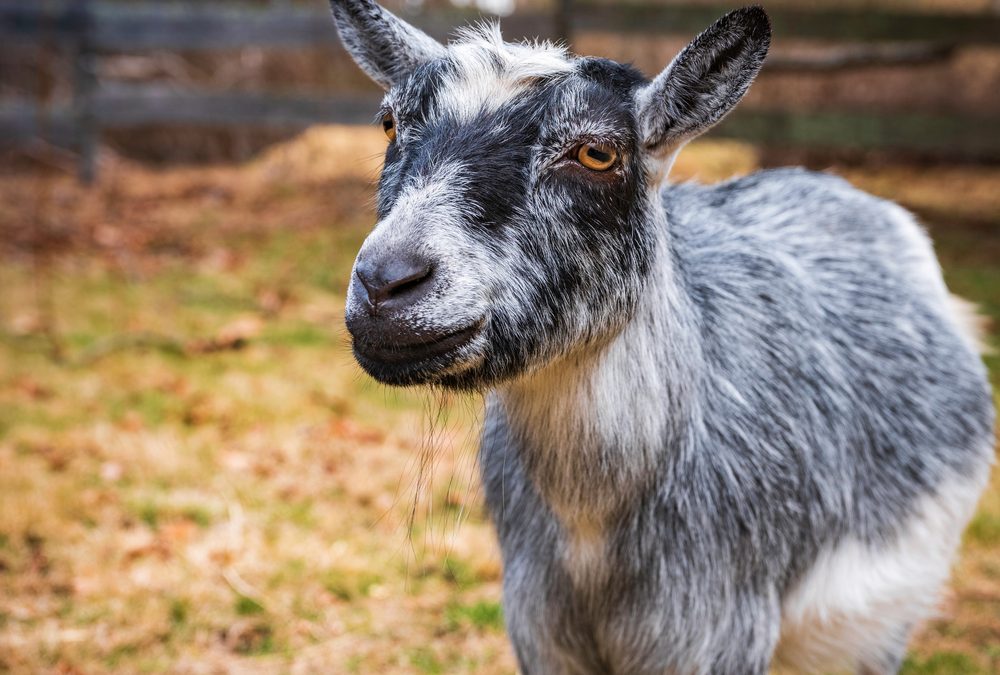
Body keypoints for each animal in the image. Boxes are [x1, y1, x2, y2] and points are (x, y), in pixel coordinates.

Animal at [330, 2, 995, 672]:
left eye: (597, 153)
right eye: (390, 124)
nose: (386, 281)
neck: (592, 531)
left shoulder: (715, 632)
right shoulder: (539, 629)